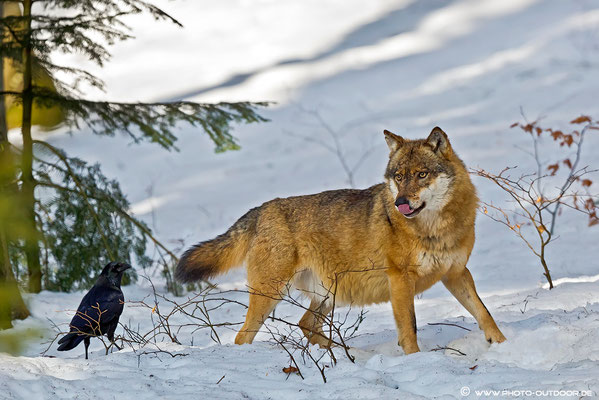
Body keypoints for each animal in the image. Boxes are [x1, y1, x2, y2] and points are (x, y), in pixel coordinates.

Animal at [177, 127, 506, 354]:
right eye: (399, 177)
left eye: (422, 174)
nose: (399, 202)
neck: (434, 229)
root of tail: (261, 209)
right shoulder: (400, 280)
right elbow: (409, 329)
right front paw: (416, 359)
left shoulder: (456, 273)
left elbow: (484, 313)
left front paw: (502, 344)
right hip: (272, 294)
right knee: (243, 336)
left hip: (327, 295)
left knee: (305, 324)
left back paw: (349, 354)